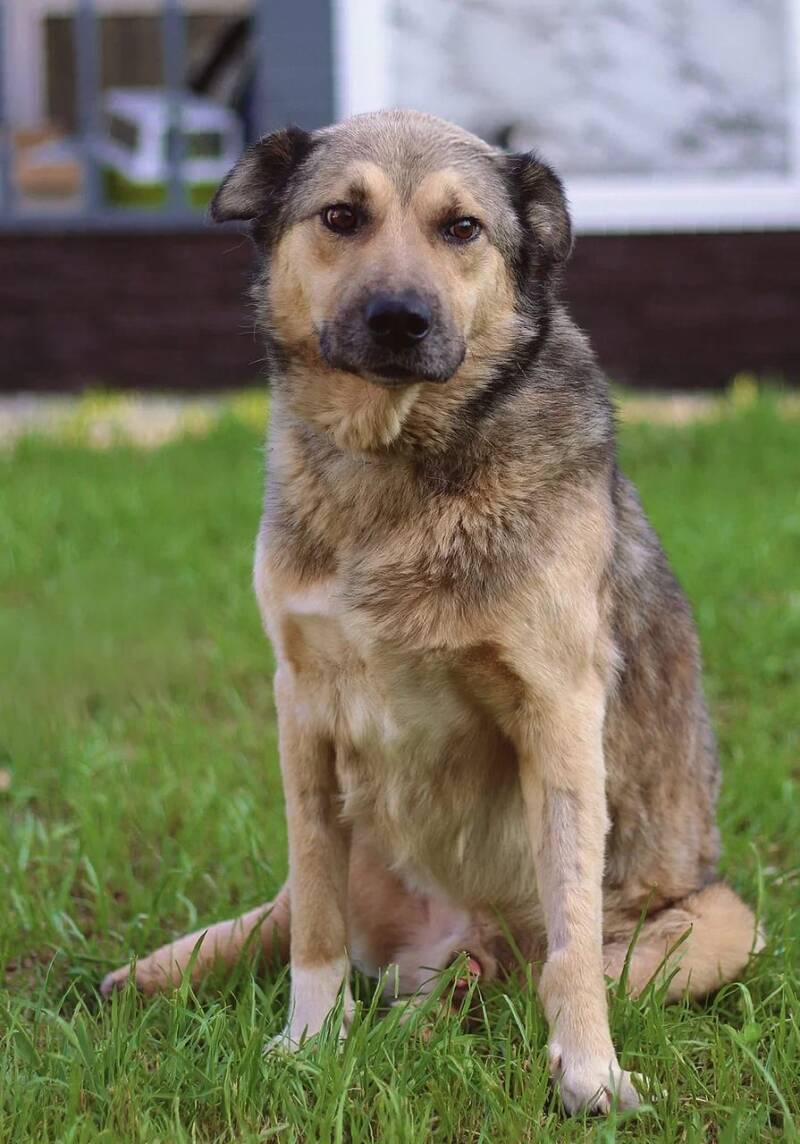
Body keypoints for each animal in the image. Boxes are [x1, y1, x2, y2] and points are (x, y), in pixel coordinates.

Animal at [102, 109, 762, 1114]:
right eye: (342, 216)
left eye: (463, 229)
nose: (399, 319)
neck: (399, 461)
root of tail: (441, 946)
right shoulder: (302, 706)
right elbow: (315, 927)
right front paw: (308, 1041)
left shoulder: (558, 710)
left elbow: (572, 945)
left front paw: (591, 1073)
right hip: (351, 832)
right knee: (287, 915)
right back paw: (153, 978)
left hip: (720, 918)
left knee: (521, 978)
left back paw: (445, 1014)